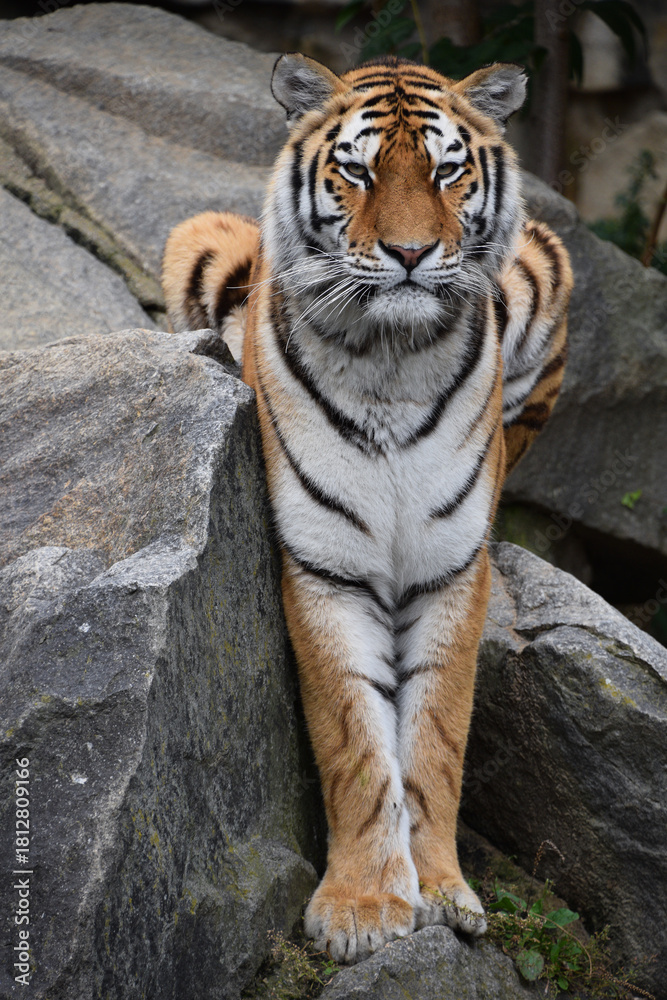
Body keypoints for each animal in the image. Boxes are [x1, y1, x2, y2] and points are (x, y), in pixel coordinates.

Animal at [162, 53, 572, 964]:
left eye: (447, 170)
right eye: (357, 170)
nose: (411, 253)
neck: (391, 357)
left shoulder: (451, 568)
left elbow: (435, 740)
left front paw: (444, 892)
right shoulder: (326, 569)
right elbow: (353, 740)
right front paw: (360, 907)